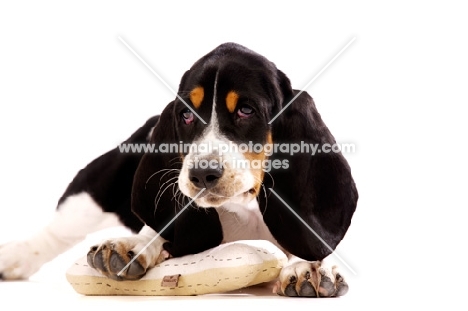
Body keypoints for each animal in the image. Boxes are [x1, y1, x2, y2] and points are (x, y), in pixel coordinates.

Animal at [0, 42, 358, 298]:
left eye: (246, 110)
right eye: (186, 115)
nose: (201, 174)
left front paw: (310, 267)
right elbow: (155, 231)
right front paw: (133, 246)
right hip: (95, 187)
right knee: (58, 229)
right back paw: (15, 258)